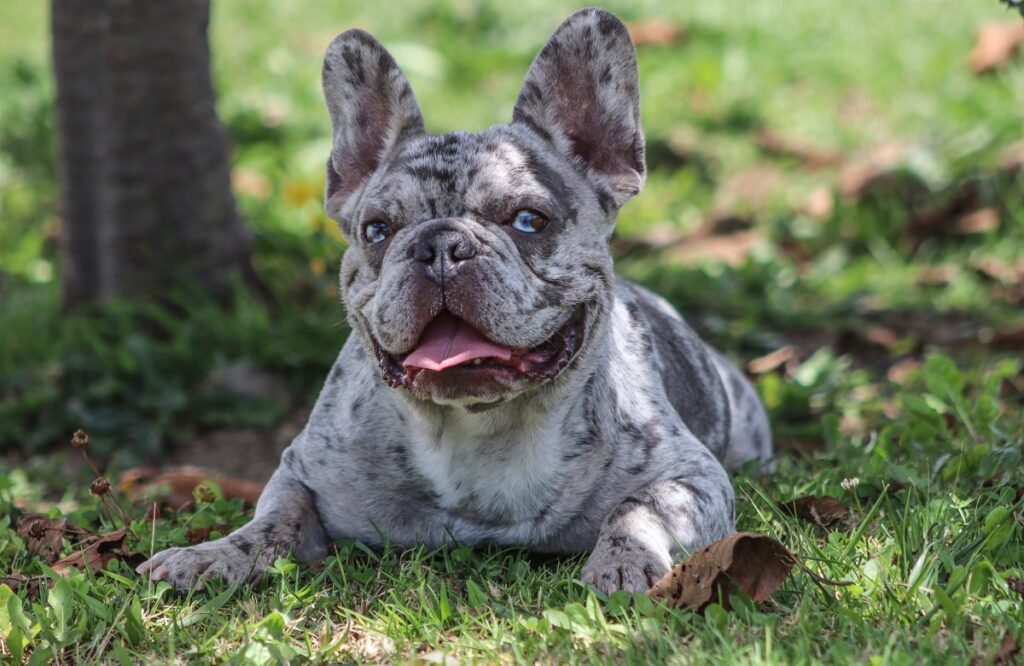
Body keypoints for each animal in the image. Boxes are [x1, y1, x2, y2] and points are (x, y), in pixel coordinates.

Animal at [140, 7, 770, 594]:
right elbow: (271, 520)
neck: (479, 431)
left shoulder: (690, 477)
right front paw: (213, 553)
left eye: (529, 221)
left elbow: (637, 509)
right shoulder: (302, 473)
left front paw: (623, 562)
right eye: (377, 230)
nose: (441, 245)